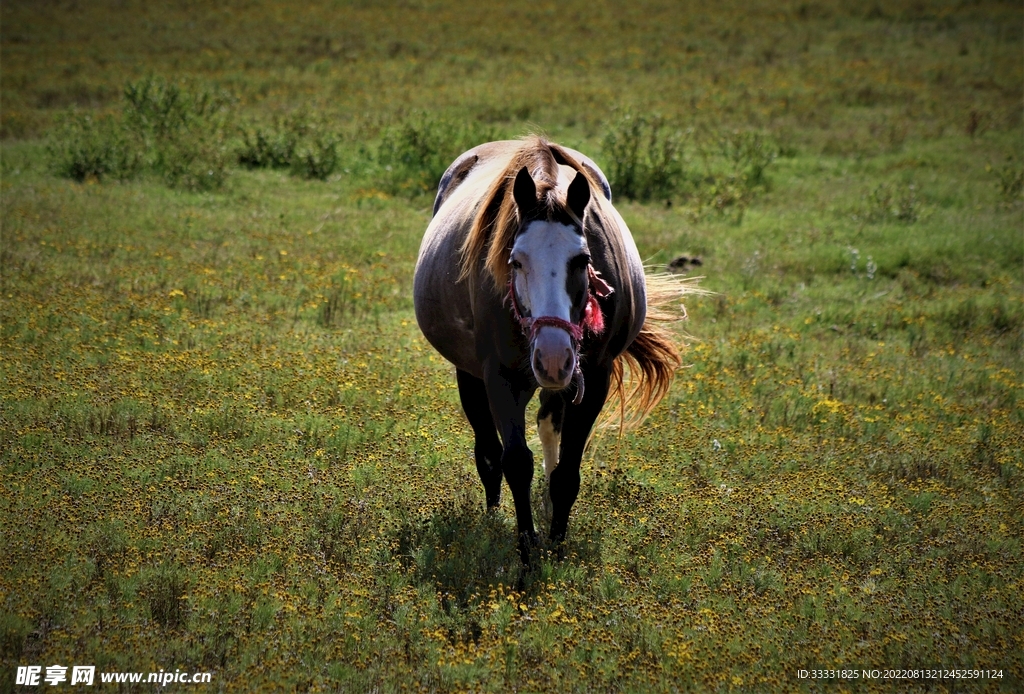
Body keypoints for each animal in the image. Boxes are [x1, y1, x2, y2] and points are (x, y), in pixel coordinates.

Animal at [414, 136, 687, 563]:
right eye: (515, 261)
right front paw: (526, 550)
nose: (553, 356)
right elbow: (514, 462)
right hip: (471, 375)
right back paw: (493, 518)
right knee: (487, 451)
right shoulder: (500, 378)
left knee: (547, 426)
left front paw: (557, 547)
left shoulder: (593, 379)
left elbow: (567, 472)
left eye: (583, 259)